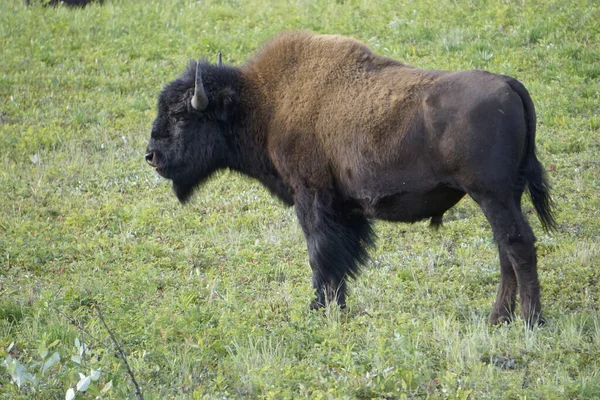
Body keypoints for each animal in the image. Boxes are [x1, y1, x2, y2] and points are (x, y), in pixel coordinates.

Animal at [146, 31, 556, 324]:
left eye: (181, 115)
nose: (151, 156)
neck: (264, 103)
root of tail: (508, 84)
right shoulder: (344, 209)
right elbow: (343, 258)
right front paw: (337, 307)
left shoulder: (311, 196)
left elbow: (321, 255)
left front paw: (319, 310)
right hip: (503, 197)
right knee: (505, 250)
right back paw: (498, 319)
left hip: (492, 195)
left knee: (518, 245)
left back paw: (529, 321)